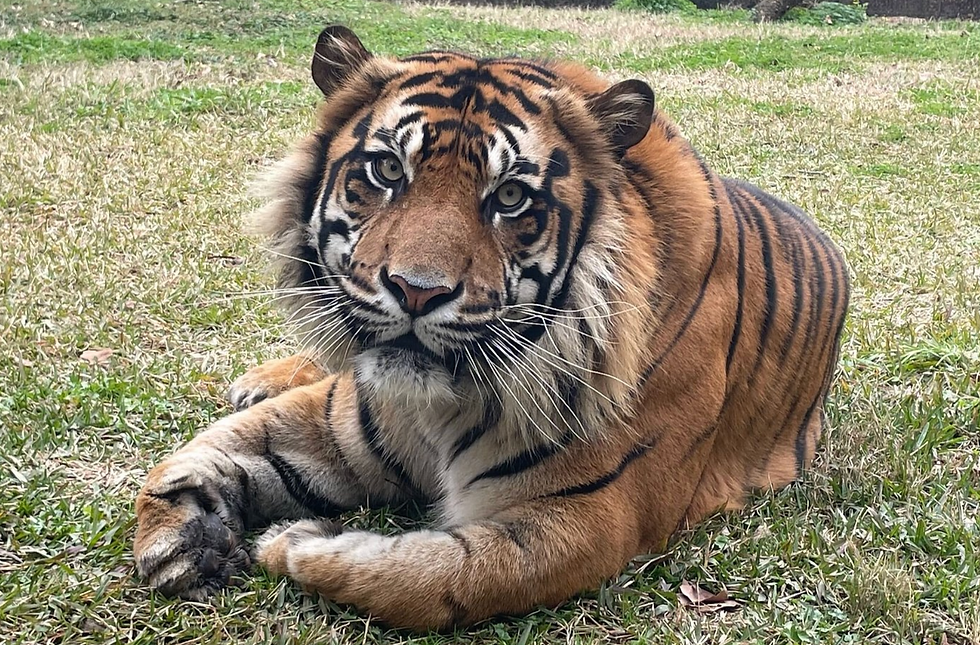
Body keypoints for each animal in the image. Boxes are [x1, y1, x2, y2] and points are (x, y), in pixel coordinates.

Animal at [133, 25, 850, 630]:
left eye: (509, 198)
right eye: (387, 171)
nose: (416, 291)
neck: (443, 403)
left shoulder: (594, 516)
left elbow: (431, 578)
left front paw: (294, 543)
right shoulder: (346, 418)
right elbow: (205, 453)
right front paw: (183, 535)